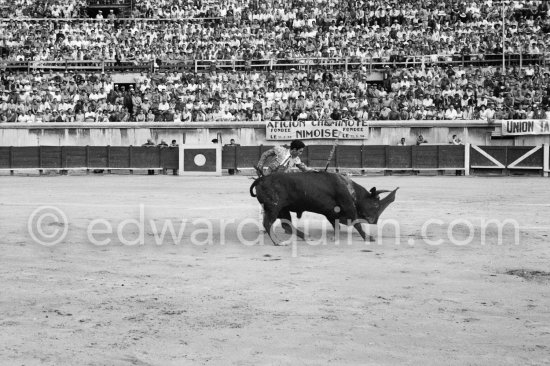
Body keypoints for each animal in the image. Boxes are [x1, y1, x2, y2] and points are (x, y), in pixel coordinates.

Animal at [251, 172, 402, 246]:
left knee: (286, 225)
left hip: (283, 209)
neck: (351, 190)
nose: (374, 221)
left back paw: (306, 237)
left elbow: (336, 225)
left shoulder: (331, 212)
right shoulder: (348, 206)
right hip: (274, 207)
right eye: (376, 204)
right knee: (268, 223)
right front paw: (369, 237)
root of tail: (261, 179)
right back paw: (278, 242)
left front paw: (335, 237)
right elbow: (357, 223)